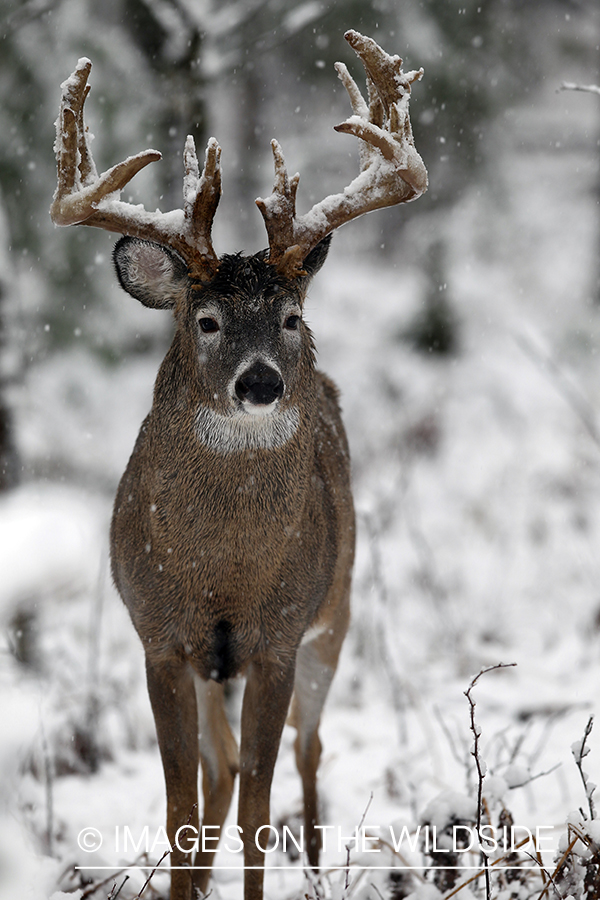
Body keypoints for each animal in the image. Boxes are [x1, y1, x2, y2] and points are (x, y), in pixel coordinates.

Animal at [50, 29, 426, 900]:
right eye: (209, 319)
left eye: (290, 316)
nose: (261, 382)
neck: (223, 572)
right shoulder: (160, 637)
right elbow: (181, 807)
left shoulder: (278, 636)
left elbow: (260, 809)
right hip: (214, 668)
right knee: (221, 773)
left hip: (336, 612)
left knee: (307, 751)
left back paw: (318, 865)